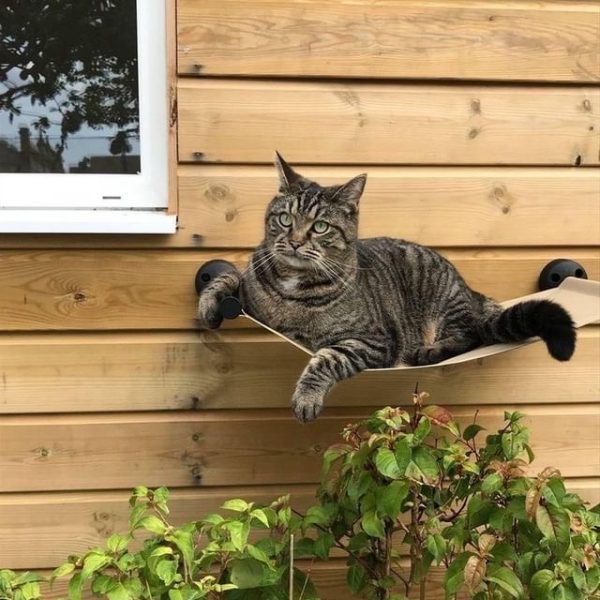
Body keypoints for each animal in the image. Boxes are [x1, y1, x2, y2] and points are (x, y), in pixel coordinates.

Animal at [197, 155, 576, 422]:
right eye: (285, 219)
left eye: (320, 227)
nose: (293, 242)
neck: (293, 288)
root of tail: (473, 293)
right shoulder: (253, 284)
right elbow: (230, 278)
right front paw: (208, 305)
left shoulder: (371, 340)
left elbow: (326, 358)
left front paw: (306, 397)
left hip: (443, 299)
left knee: (472, 334)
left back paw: (430, 352)